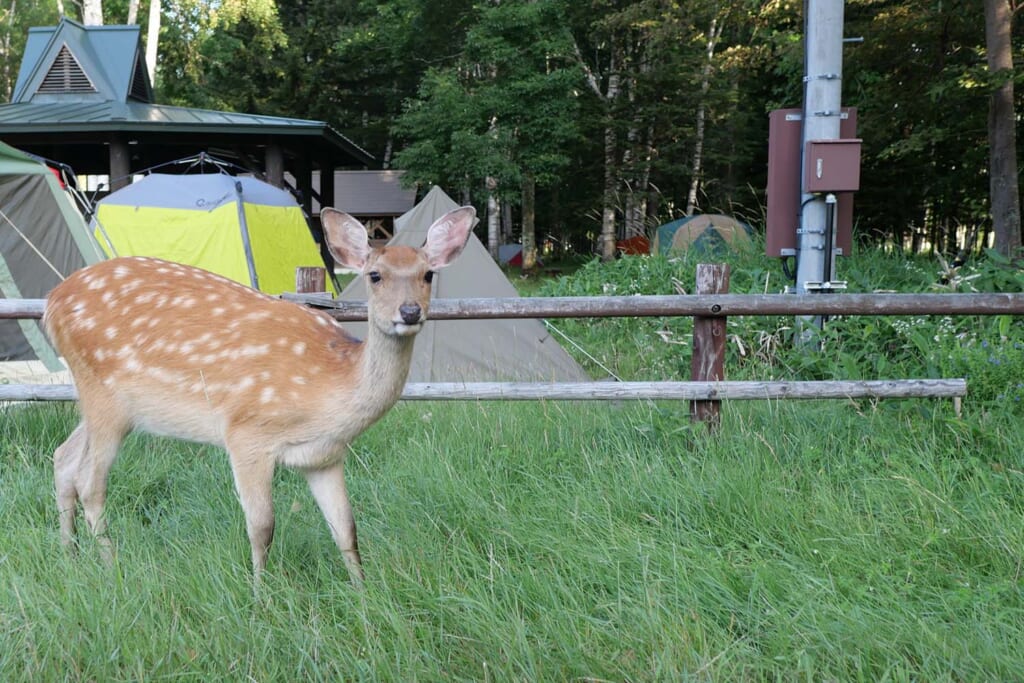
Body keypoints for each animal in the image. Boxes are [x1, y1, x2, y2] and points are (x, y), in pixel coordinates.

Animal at [43, 204, 475, 589]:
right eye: (375, 276)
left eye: (428, 274)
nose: (410, 311)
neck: (329, 388)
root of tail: (51, 303)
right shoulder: (247, 433)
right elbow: (262, 526)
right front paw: (260, 595)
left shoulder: (325, 455)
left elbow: (346, 529)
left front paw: (363, 593)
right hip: (105, 396)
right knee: (90, 481)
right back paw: (109, 565)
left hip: (102, 404)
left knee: (63, 458)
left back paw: (69, 555)